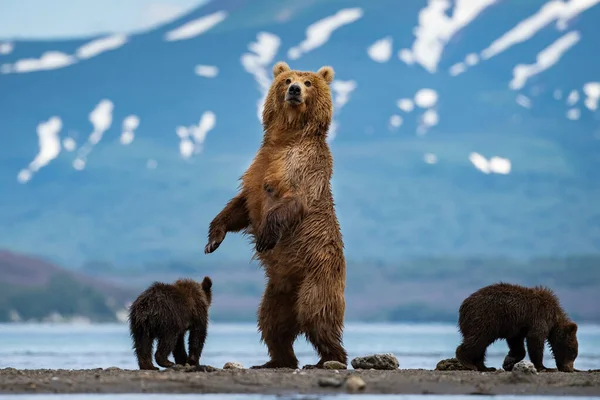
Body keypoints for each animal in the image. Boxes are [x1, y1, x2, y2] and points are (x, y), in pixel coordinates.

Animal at [205, 60, 346, 368]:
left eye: (308, 83)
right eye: (287, 80)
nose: (294, 90)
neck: (288, 137)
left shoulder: (303, 168)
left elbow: (292, 202)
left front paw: (265, 237)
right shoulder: (258, 168)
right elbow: (239, 207)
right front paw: (213, 239)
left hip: (318, 275)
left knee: (317, 315)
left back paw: (329, 358)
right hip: (278, 290)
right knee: (272, 322)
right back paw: (277, 360)